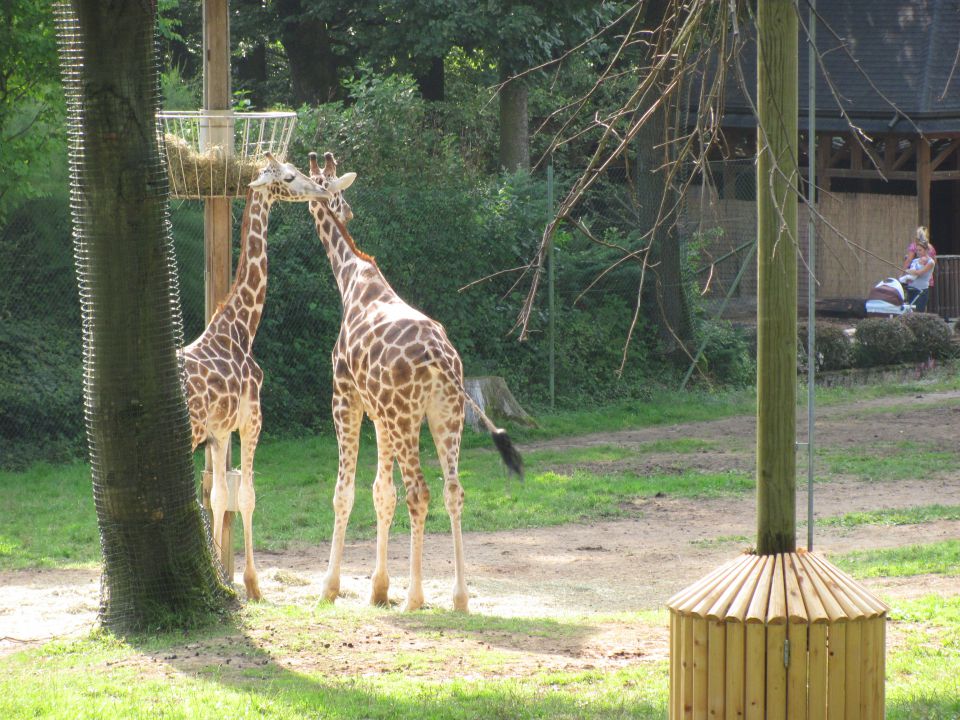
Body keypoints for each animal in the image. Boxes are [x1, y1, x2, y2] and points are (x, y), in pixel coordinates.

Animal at [183, 155, 334, 600]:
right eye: (290, 176)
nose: (321, 191)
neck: (240, 329)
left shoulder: (219, 432)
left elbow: (219, 497)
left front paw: (222, 575)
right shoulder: (252, 420)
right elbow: (247, 496)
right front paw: (252, 584)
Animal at [308, 152, 520, 612]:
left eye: (318, 182)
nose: (347, 212)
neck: (351, 278)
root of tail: (441, 358)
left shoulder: (345, 398)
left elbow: (345, 491)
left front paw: (331, 587)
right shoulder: (379, 414)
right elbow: (381, 493)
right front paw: (378, 587)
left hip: (407, 418)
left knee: (420, 491)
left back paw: (416, 597)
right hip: (446, 416)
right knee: (453, 489)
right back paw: (459, 598)